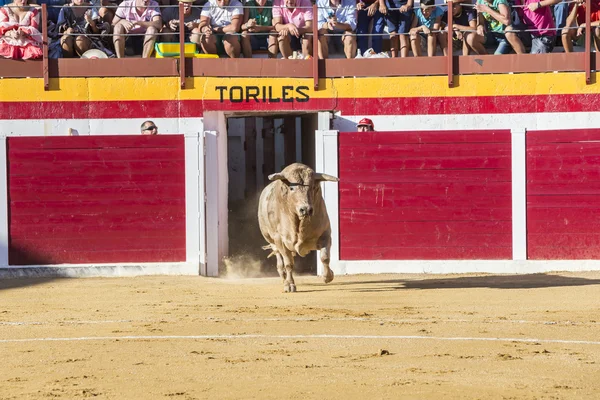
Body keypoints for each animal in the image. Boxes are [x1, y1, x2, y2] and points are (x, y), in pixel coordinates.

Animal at [258, 163, 340, 294]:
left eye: (312, 187)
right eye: (292, 188)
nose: (305, 209)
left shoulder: (325, 234)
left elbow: (325, 257)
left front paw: (328, 276)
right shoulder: (280, 240)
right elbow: (288, 263)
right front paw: (290, 285)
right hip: (271, 240)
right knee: (280, 260)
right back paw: (284, 278)